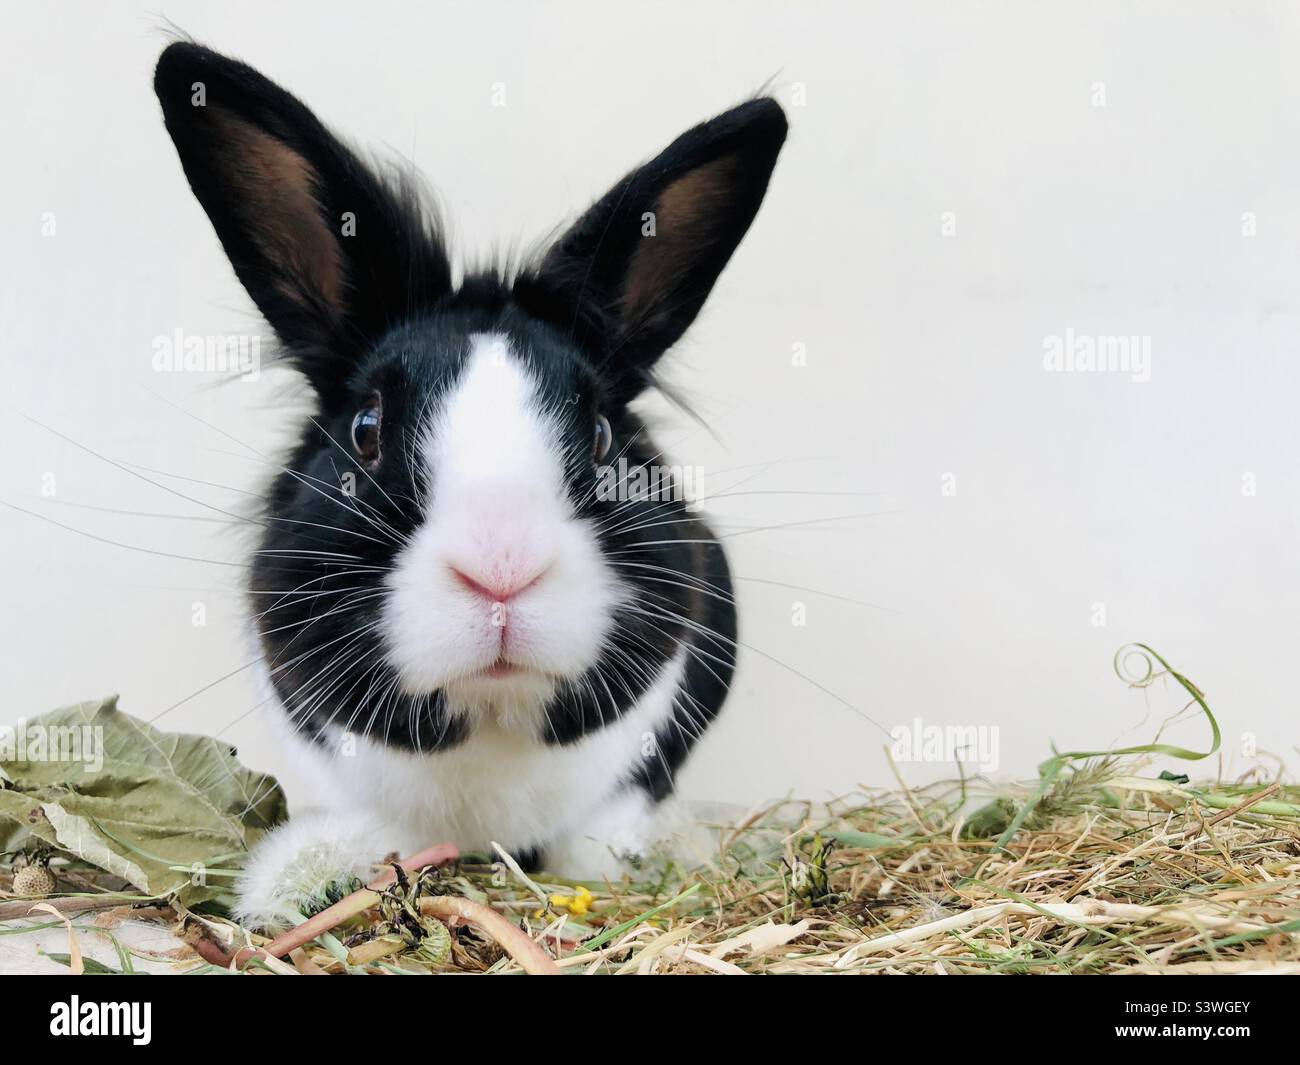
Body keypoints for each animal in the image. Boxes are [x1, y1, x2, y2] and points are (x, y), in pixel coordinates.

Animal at [152, 39, 780, 925]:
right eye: (367, 429)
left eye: (600, 434)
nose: (501, 567)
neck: (491, 715)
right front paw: (299, 878)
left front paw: (614, 862)